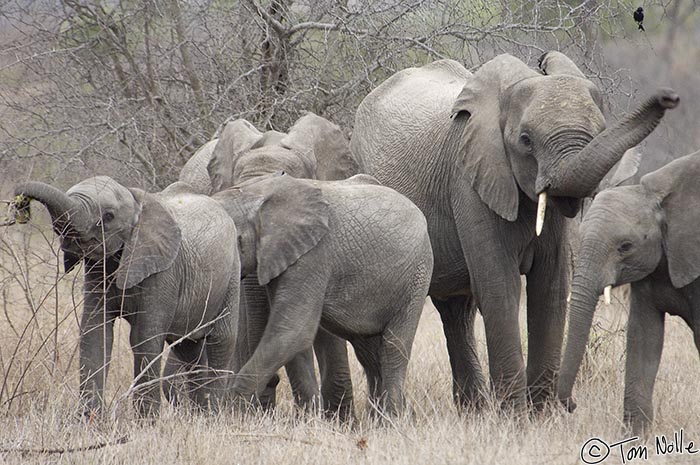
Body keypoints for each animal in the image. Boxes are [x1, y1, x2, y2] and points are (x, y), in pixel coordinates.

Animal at [10, 176, 239, 416]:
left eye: (108, 216)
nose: (21, 204)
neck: (137, 203)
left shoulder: (164, 272)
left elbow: (144, 338)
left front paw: (146, 420)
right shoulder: (98, 269)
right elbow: (96, 333)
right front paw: (89, 419)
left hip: (232, 274)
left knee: (221, 340)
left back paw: (212, 413)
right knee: (188, 347)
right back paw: (199, 414)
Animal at [213, 173, 432, 414]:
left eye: (236, 240)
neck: (255, 194)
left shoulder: (314, 253)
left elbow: (293, 330)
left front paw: (231, 409)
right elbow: (291, 338)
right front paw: (308, 416)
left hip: (417, 275)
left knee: (394, 348)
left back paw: (392, 418)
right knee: (369, 354)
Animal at [350, 50, 680, 410]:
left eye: (599, 132)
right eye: (526, 141)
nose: (669, 96)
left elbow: (550, 287)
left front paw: (541, 415)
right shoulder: (469, 178)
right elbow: (500, 287)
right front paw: (514, 416)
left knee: (456, 310)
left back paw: (474, 411)